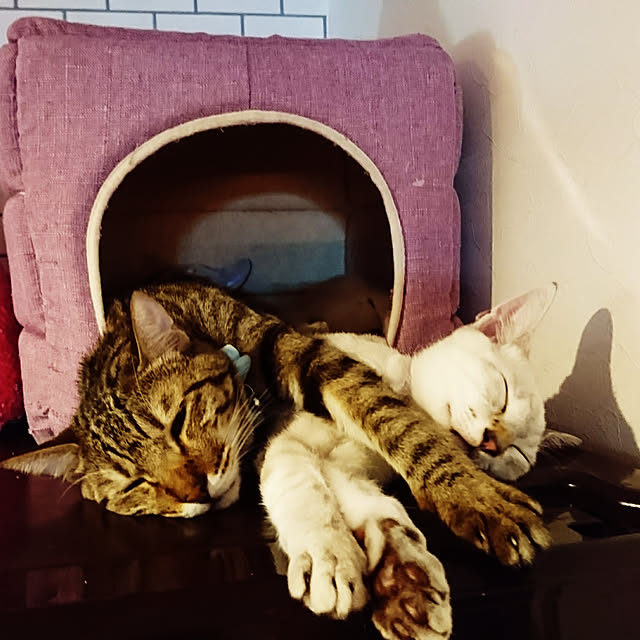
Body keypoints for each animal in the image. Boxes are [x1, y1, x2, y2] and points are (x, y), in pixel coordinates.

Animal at [1, 280, 551, 639]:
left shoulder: (303, 353)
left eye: (177, 422)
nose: (195, 491)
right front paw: (343, 558)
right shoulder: (294, 447)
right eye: (135, 485)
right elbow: (319, 490)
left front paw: (473, 497)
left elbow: (400, 426)